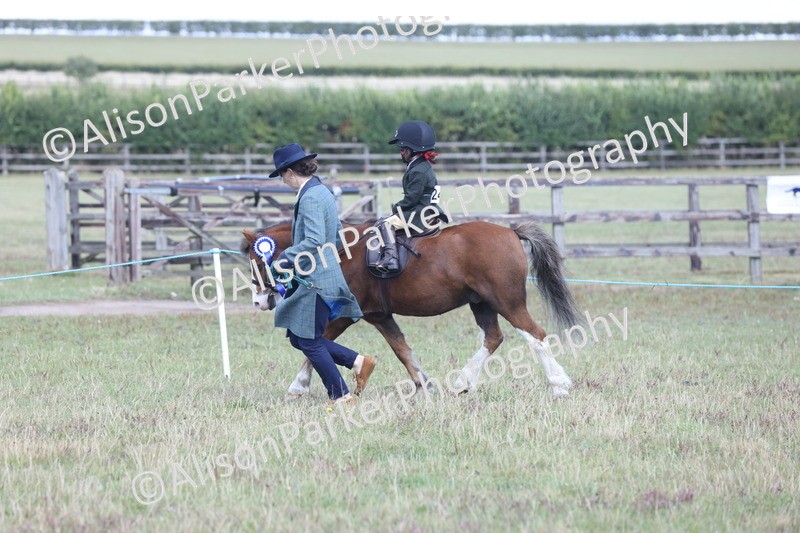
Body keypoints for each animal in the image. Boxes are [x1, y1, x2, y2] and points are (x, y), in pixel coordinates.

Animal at [240, 220, 582, 398]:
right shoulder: (380, 316)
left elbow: (315, 343)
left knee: (535, 335)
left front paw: (298, 385)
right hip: (482, 303)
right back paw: (462, 382)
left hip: (506, 301)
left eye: (258, 261)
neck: (336, 252)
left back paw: (559, 385)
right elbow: (402, 350)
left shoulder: (347, 313)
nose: (259, 302)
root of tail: (510, 231)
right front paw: (424, 384)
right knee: (493, 338)